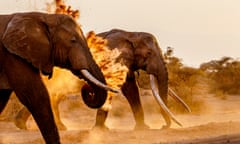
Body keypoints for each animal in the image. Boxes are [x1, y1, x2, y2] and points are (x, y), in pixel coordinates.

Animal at [0, 11, 117, 143]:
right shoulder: (13, 56)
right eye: (73, 40)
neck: (43, 17)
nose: (88, 89)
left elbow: (1, 100)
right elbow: (36, 95)